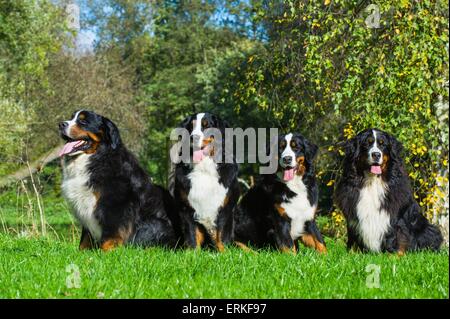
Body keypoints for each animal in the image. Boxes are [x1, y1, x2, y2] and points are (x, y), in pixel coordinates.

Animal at [58, 110, 181, 252]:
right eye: (72, 117)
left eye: (83, 121)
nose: (61, 124)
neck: (98, 157)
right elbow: (86, 237)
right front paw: (82, 252)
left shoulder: (114, 202)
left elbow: (112, 230)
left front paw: (107, 250)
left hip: (156, 222)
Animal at [173, 112, 241, 252]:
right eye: (191, 126)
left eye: (207, 125)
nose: (193, 137)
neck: (204, 168)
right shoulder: (186, 207)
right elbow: (192, 235)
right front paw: (193, 254)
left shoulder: (226, 207)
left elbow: (222, 236)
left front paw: (225, 254)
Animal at [334, 127, 442, 255]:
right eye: (367, 143)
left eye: (383, 144)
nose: (376, 154)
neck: (372, 181)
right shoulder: (352, 212)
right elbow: (353, 236)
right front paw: (352, 253)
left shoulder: (395, 215)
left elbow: (394, 236)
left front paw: (393, 254)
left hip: (429, 229)